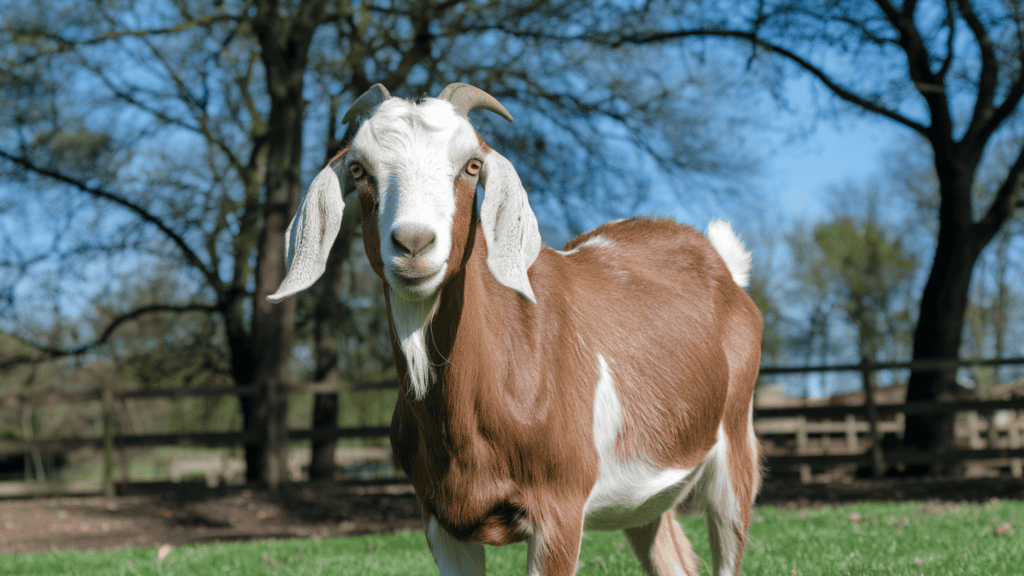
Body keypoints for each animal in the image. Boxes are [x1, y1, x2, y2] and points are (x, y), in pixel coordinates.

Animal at [269, 83, 762, 576]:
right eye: (358, 168)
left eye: (472, 165)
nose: (413, 243)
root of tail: (721, 262)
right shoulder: (440, 521)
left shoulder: (560, 511)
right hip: (644, 497)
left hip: (735, 451)